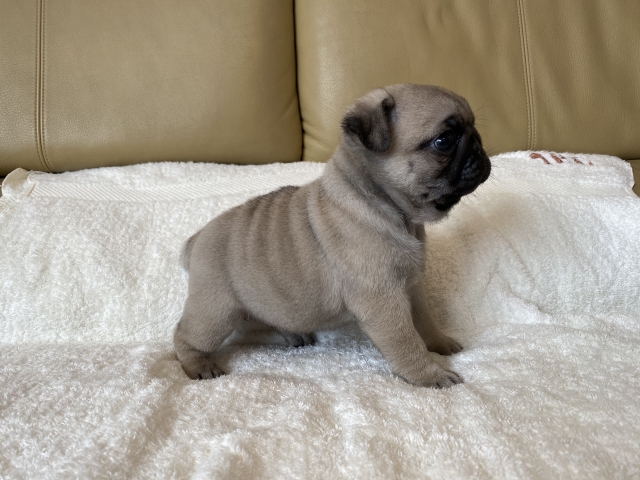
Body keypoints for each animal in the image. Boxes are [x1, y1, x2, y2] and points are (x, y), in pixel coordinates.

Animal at [174, 84, 491, 388]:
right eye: (444, 140)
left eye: (475, 127)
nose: (479, 145)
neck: (384, 203)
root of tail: (197, 238)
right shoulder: (384, 300)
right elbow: (405, 341)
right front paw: (429, 375)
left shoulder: (412, 289)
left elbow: (425, 322)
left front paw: (440, 343)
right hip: (216, 310)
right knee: (185, 336)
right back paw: (199, 365)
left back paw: (294, 336)